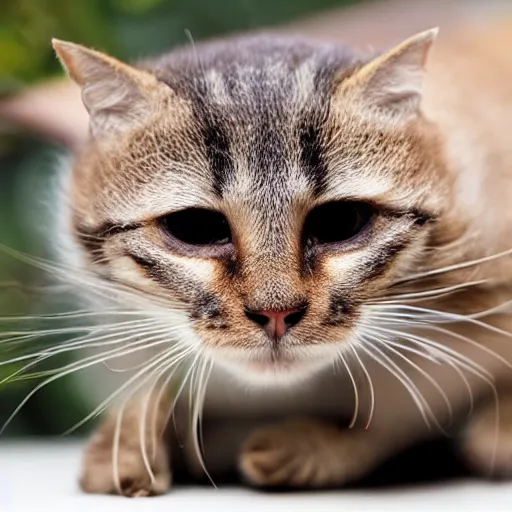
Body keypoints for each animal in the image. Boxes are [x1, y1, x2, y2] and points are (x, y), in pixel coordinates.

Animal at [45, 23, 512, 496]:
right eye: (195, 228)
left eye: (340, 222)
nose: (276, 314)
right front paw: (127, 443)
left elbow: (402, 415)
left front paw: (312, 449)